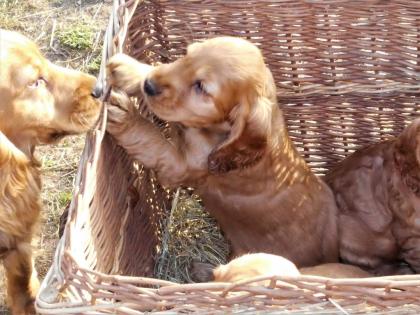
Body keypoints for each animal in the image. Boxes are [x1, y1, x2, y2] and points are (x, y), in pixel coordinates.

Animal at [107, 37, 338, 270]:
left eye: (201, 87)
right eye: (187, 54)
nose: (149, 85)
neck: (215, 132)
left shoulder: (180, 167)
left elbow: (152, 139)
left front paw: (125, 115)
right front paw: (129, 70)